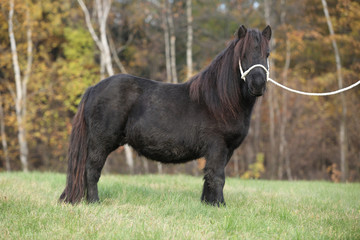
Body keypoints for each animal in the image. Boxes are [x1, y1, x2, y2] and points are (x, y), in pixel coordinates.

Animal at [60, 25, 272, 206]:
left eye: (267, 54)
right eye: (243, 55)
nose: (258, 84)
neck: (219, 102)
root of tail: (93, 88)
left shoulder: (227, 150)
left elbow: (208, 177)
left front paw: (207, 204)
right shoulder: (218, 147)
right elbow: (218, 177)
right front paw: (220, 206)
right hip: (101, 142)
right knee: (91, 170)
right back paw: (94, 202)